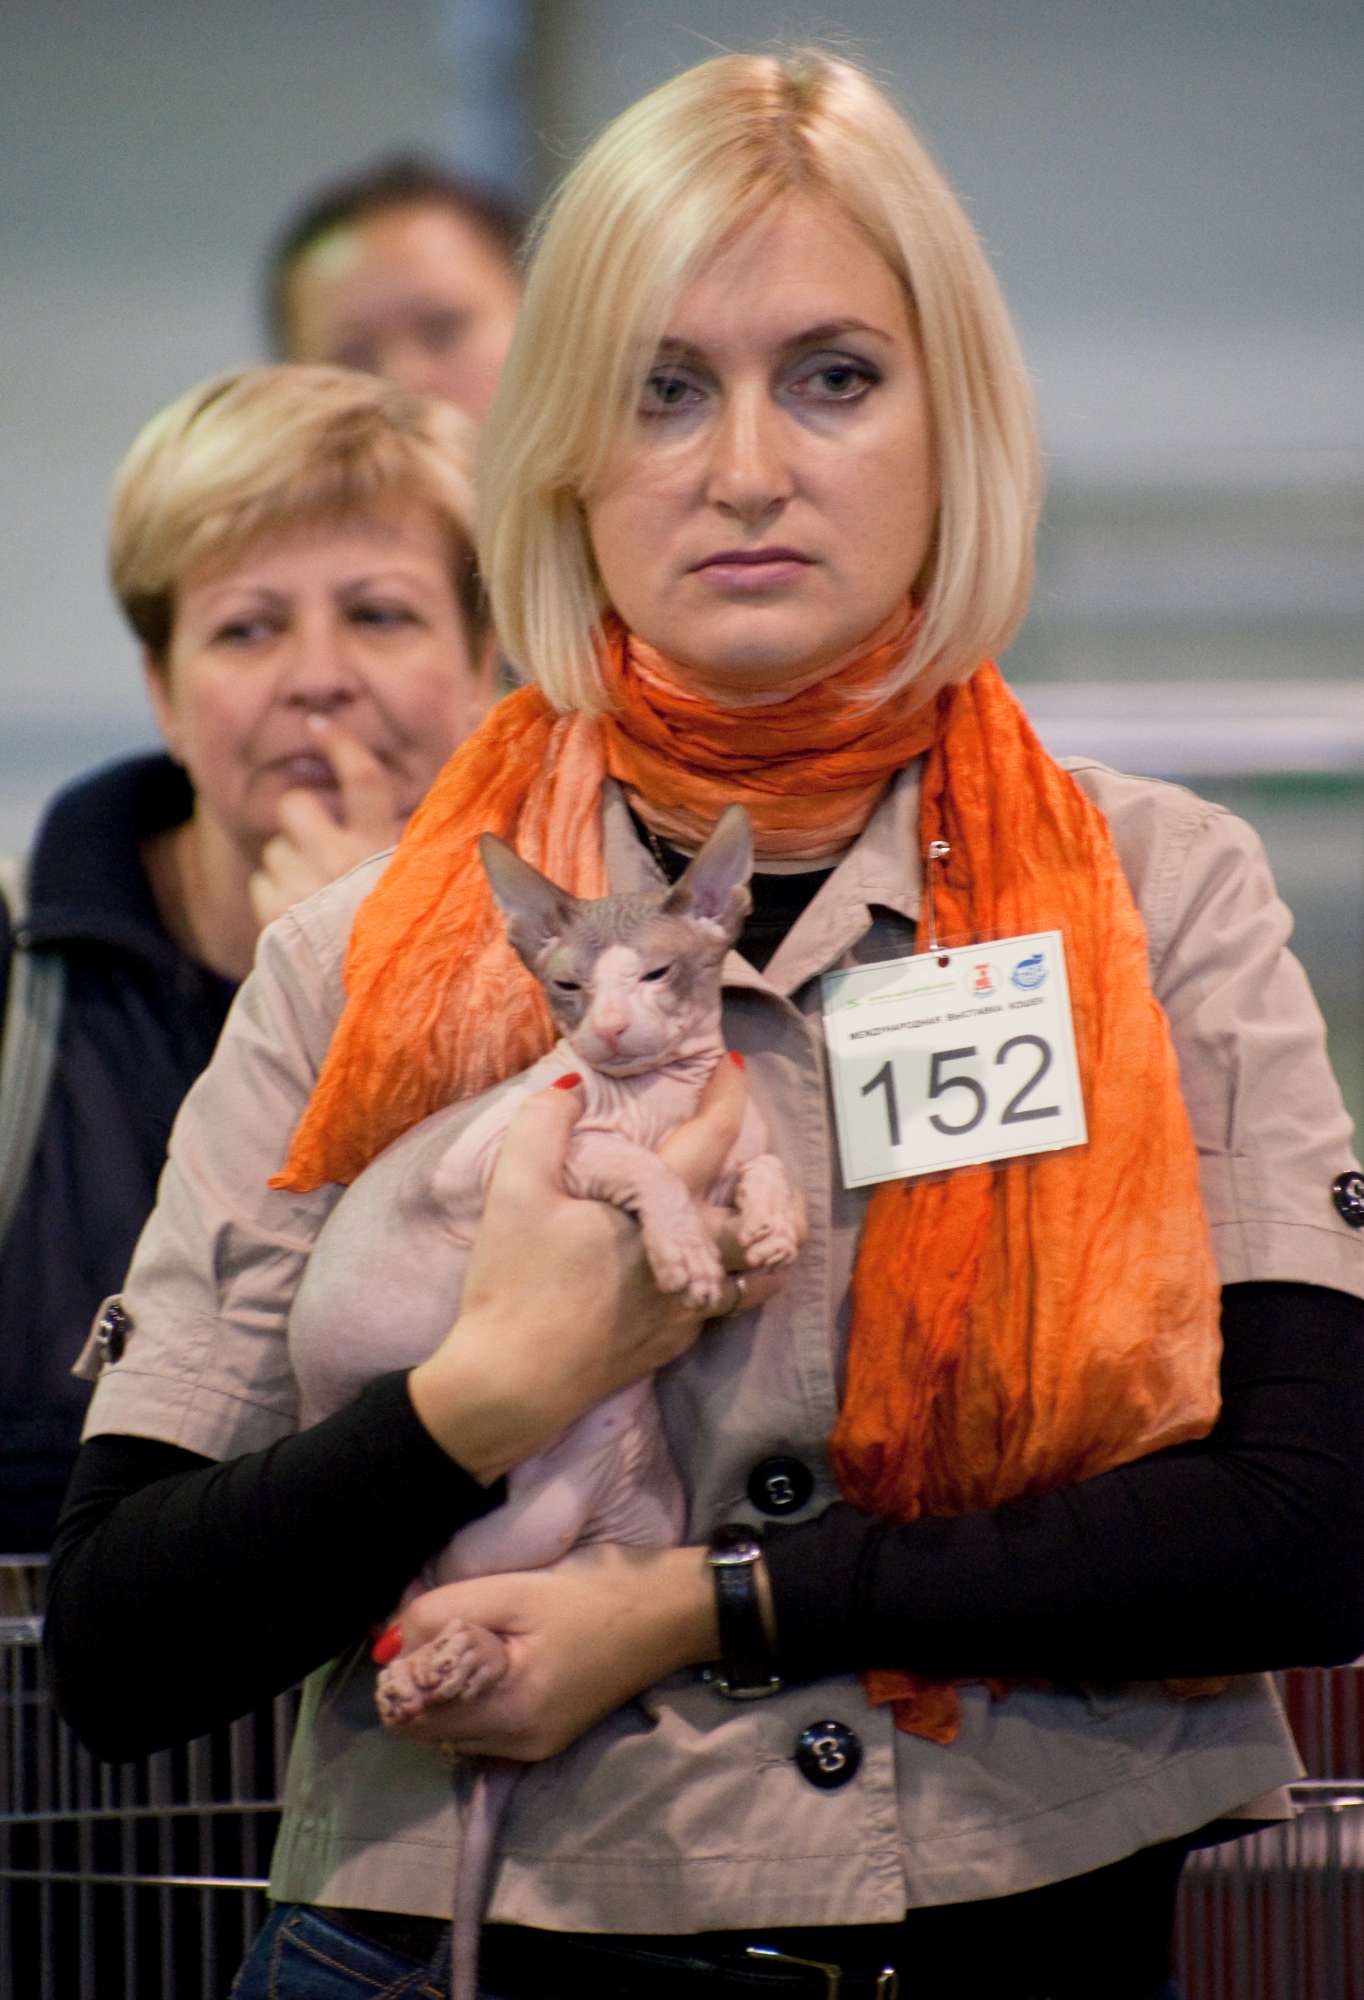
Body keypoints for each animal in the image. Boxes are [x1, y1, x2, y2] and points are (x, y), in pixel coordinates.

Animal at [285, 803, 801, 2000]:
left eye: (657, 971)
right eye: (564, 986)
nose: (605, 1030)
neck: (655, 1099)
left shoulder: (730, 1139)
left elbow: (763, 1171)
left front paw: (768, 1229)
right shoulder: (496, 1159)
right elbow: (621, 1158)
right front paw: (682, 1248)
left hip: (606, 1531)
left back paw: (464, 1661)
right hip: (412, 1551)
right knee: (394, 1616)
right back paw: (421, 1673)